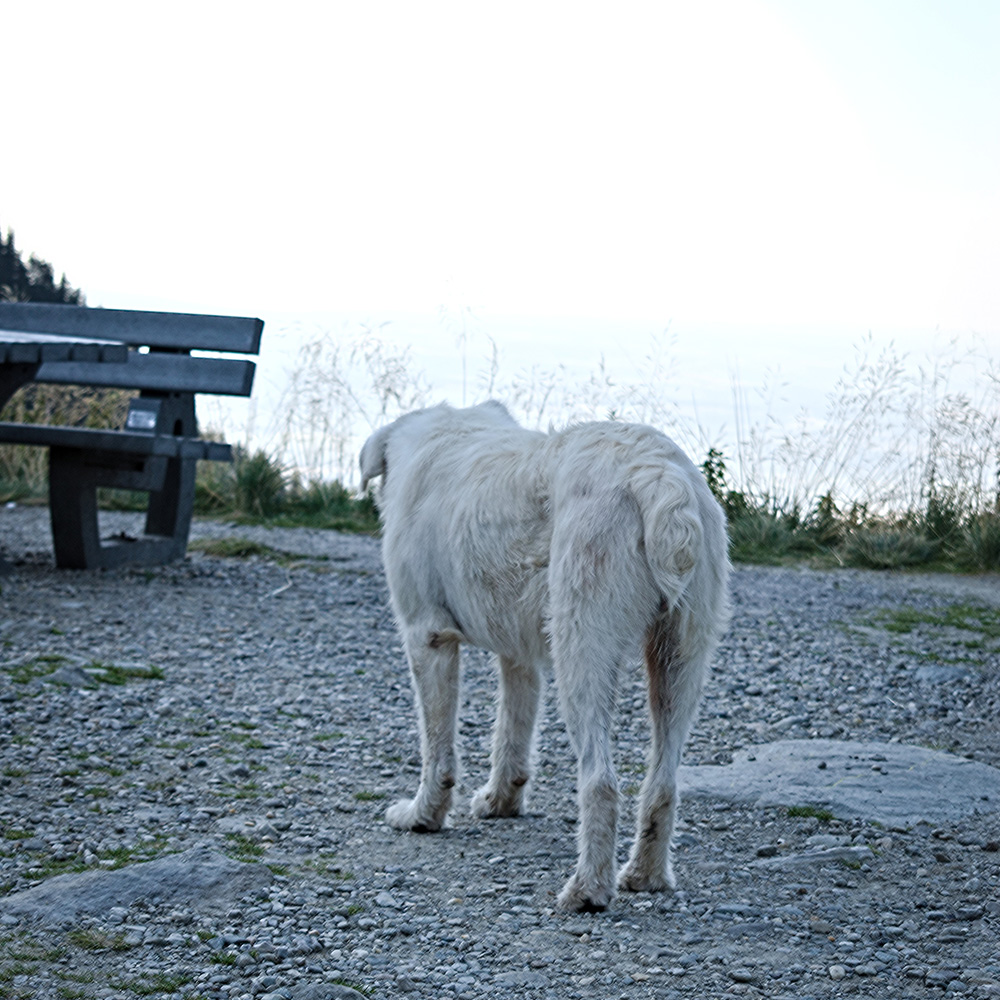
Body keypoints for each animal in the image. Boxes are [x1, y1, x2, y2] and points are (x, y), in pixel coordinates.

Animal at [360, 402, 728, 912]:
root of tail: (659, 471)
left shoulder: (426, 638)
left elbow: (437, 748)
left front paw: (422, 816)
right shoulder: (518, 654)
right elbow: (512, 729)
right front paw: (501, 802)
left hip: (581, 645)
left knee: (600, 781)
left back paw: (588, 891)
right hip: (681, 656)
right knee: (664, 781)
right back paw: (645, 876)